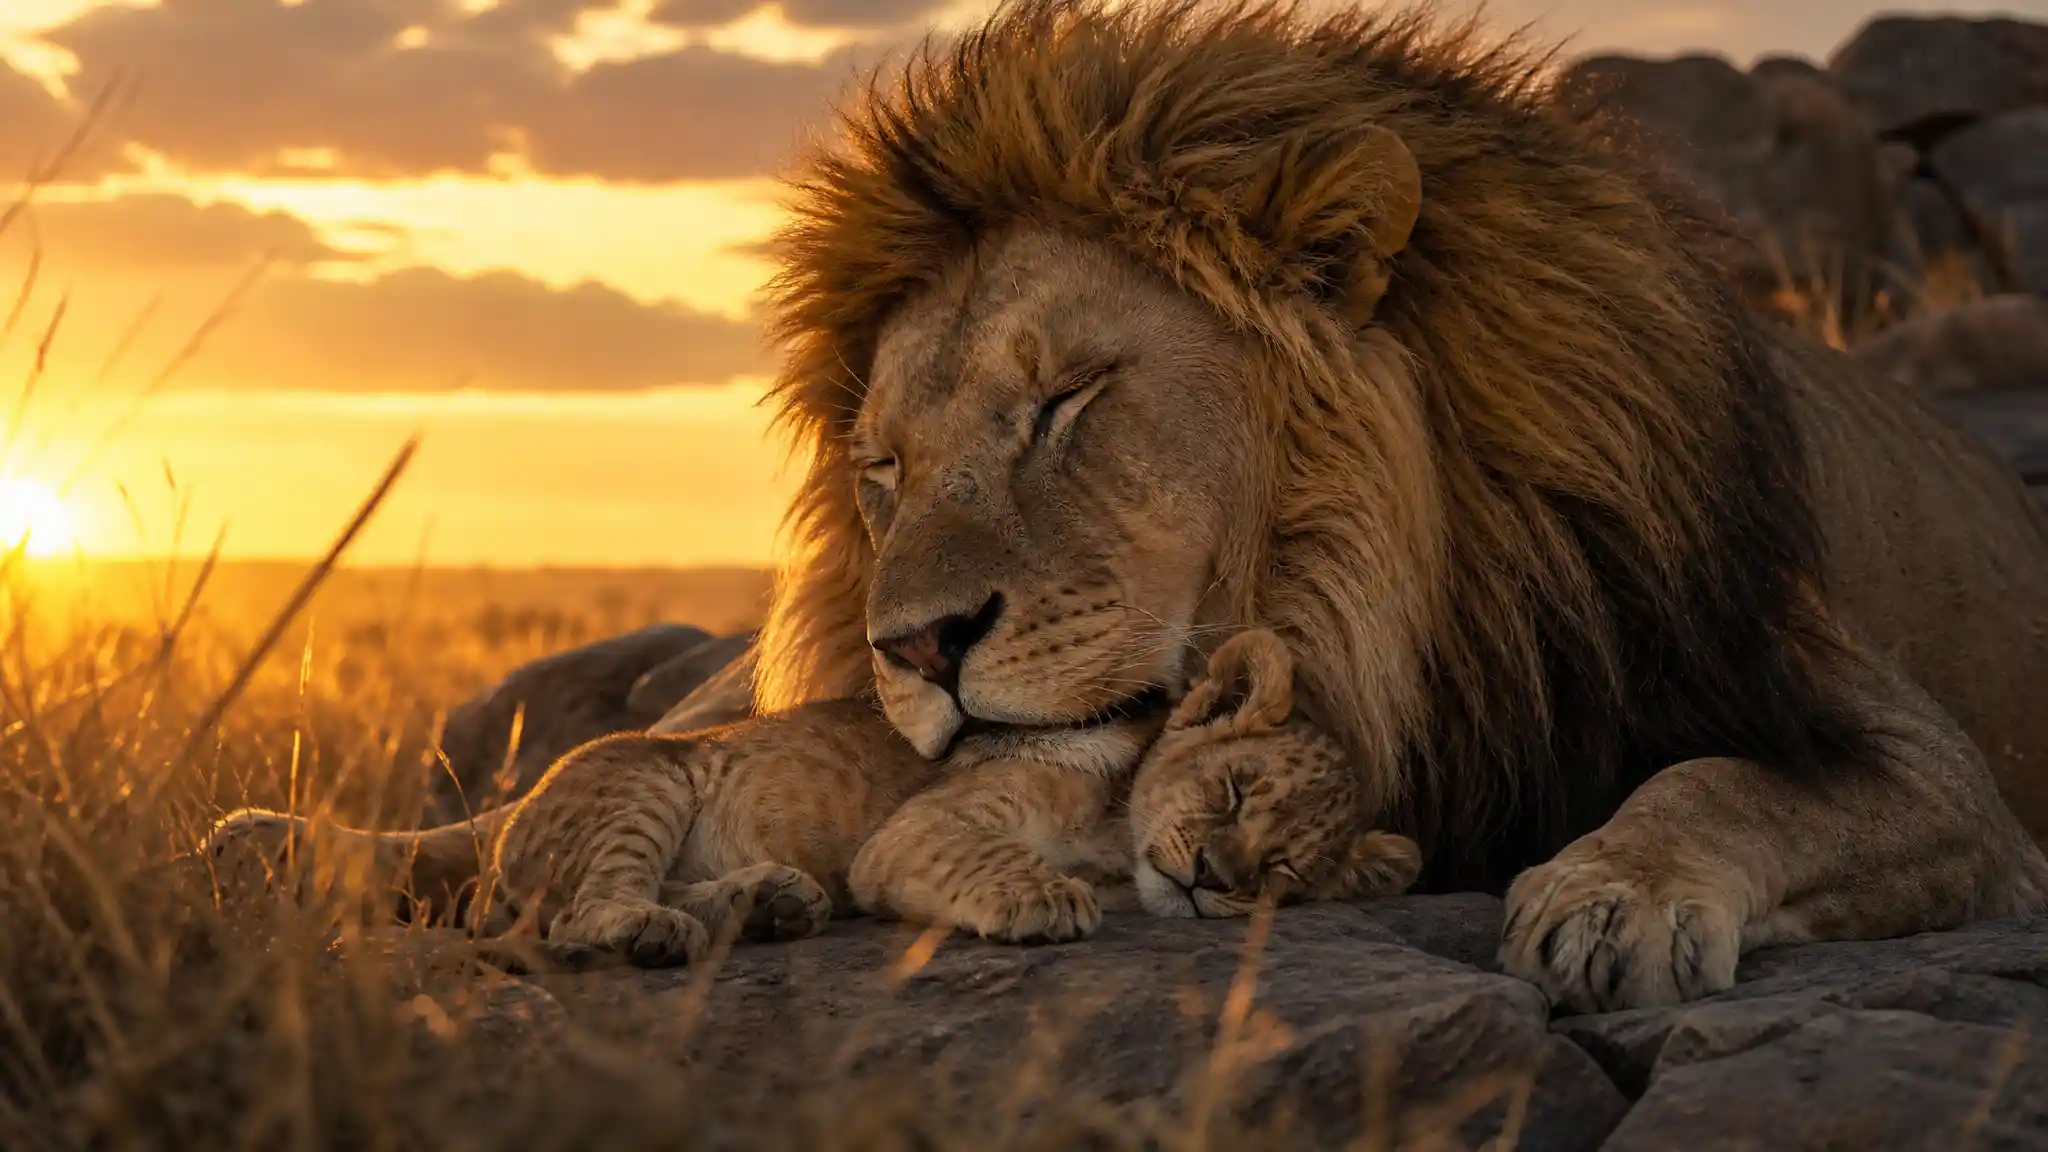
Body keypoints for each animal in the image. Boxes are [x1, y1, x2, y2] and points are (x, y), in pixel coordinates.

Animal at [727, 0, 2048, 1014]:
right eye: (882, 469)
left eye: (1067, 398)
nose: (913, 648)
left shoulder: (1929, 772)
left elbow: (1726, 781)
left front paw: (1613, 897)